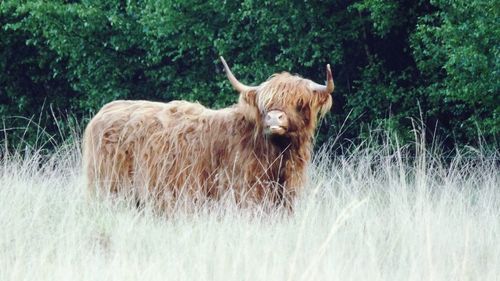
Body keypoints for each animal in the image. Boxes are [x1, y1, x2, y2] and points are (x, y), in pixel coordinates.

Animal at [82, 57, 334, 210]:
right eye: (265, 104)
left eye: (300, 102)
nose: (273, 119)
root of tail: (104, 111)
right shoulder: (244, 193)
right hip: (110, 188)